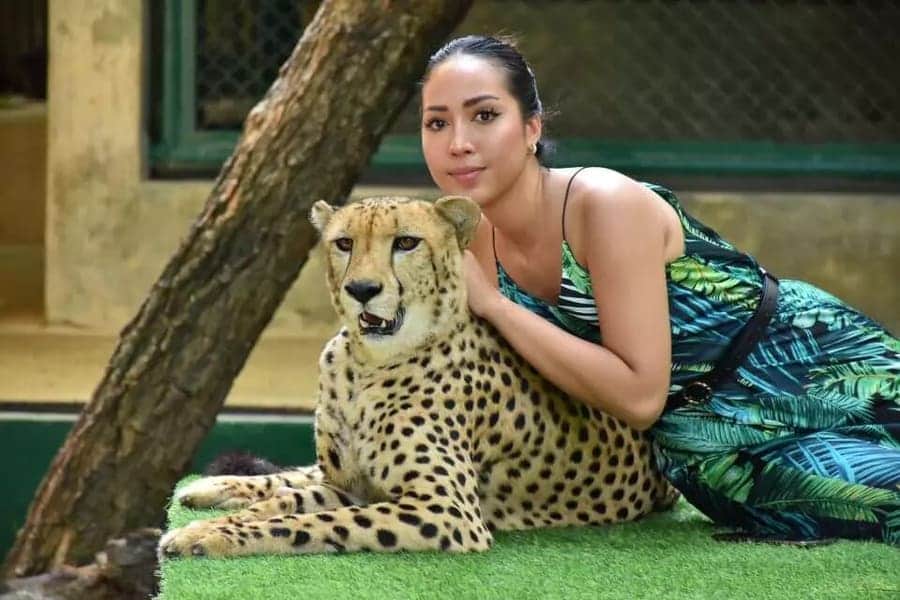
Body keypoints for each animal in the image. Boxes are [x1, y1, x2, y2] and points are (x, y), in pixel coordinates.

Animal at [159, 195, 676, 559]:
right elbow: (297, 497)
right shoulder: (351, 483)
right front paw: (215, 518)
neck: (364, 365)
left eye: (406, 243)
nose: (362, 289)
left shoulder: (447, 510)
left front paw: (208, 537)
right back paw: (210, 486)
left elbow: (308, 522)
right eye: (344, 243)